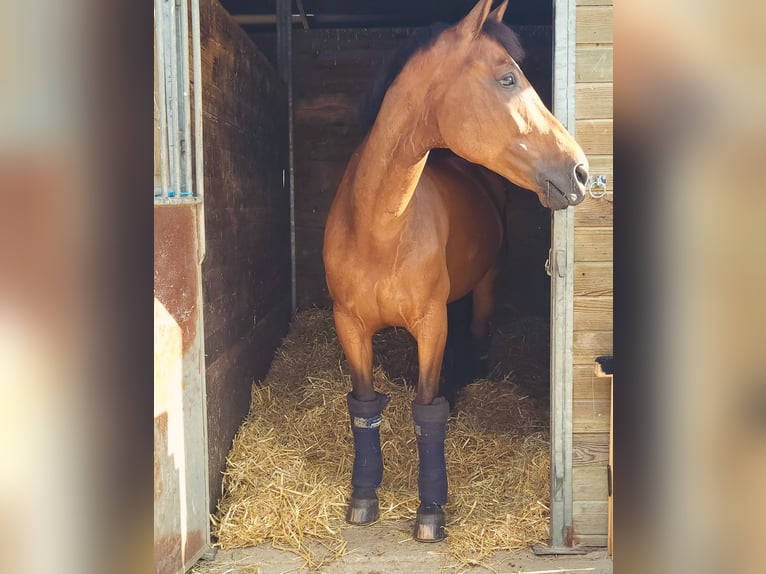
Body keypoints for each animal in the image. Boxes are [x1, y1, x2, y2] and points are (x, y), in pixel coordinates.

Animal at [322, 0, 588, 544]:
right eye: (508, 78)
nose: (580, 172)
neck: (380, 230)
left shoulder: (431, 325)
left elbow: (427, 410)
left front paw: (429, 512)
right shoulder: (349, 325)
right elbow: (363, 405)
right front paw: (363, 498)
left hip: (482, 288)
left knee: (478, 336)